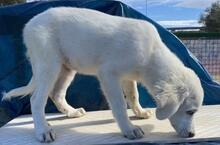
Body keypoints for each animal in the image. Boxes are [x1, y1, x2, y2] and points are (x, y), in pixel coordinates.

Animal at [2, 7, 204, 143]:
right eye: (190, 111)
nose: (192, 135)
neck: (151, 54)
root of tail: (29, 24)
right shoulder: (108, 74)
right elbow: (120, 105)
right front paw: (129, 129)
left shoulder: (128, 76)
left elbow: (133, 95)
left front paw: (139, 112)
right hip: (48, 65)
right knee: (37, 99)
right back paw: (42, 130)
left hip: (66, 68)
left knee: (57, 94)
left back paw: (72, 112)